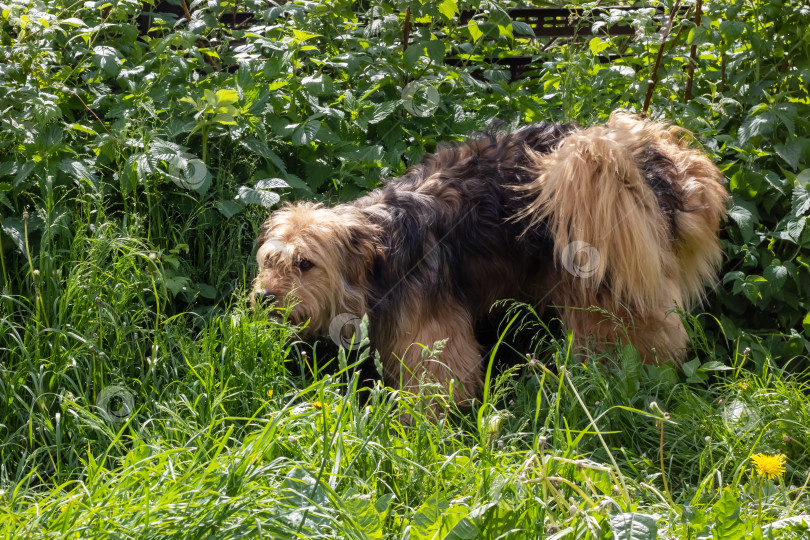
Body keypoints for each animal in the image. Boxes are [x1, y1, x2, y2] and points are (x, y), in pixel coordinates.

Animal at [248, 112, 724, 402]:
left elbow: (438, 379)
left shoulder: (432, 333)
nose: (265, 298)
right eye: (270, 263)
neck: (382, 249)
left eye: (305, 264)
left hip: (604, 276)